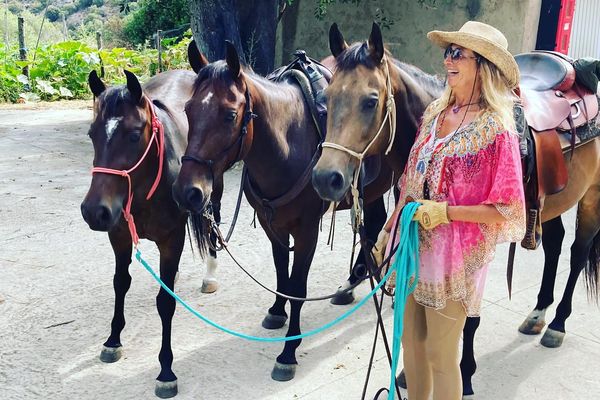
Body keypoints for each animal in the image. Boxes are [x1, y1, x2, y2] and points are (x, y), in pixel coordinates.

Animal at [78, 69, 221, 396]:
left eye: (133, 135)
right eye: (92, 134)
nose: (93, 211)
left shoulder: (172, 240)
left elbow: (165, 303)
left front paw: (166, 370)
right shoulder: (118, 235)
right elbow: (120, 283)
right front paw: (113, 340)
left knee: (213, 223)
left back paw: (210, 273)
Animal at [172, 39, 408, 382]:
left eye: (229, 115)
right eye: (188, 110)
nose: (187, 191)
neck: (287, 144)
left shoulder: (306, 231)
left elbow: (298, 284)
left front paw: (288, 351)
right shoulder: (274, 227)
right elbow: (281, 272)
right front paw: (276, 312)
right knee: (376, 222)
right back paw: (352, 282)